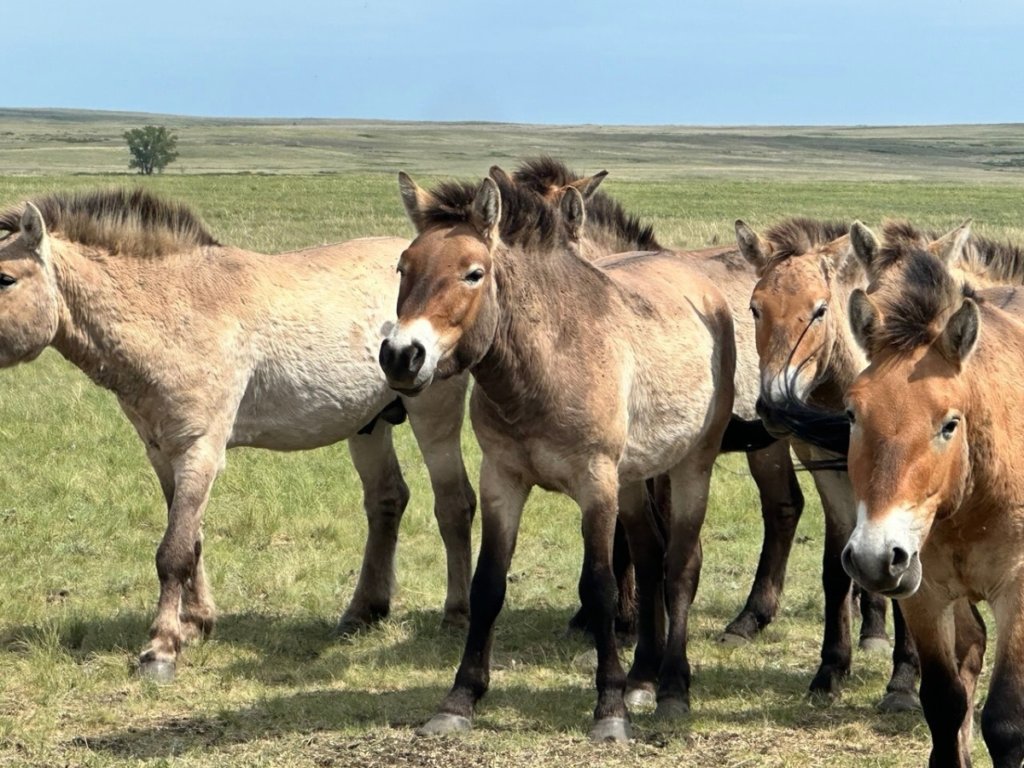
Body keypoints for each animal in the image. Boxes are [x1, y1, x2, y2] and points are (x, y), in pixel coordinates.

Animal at [0, 189, 477, 680]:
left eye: (4, 279)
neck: (176, 309)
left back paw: (456, 615)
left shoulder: (200, 451)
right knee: (387, 501)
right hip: (368, 425)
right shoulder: (162, 453)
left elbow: (173, 552)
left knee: (454, 504)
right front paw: (195, 623)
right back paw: (363, 611)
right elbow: (191, 540)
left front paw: (161, 647)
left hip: (432, 414)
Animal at [379, 172, 736, 741]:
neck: (545, 362)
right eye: (403, 267)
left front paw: (609, 709)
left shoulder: (596, 486)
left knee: (680, 566)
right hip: (633, 480)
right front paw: (460, 699)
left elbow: (601, 587)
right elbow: (488, 585)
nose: (400, 356)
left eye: (473, 273)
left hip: (691, 467)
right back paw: (643, 678)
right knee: (651, 560)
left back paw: (673, 689)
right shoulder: (502, 479)